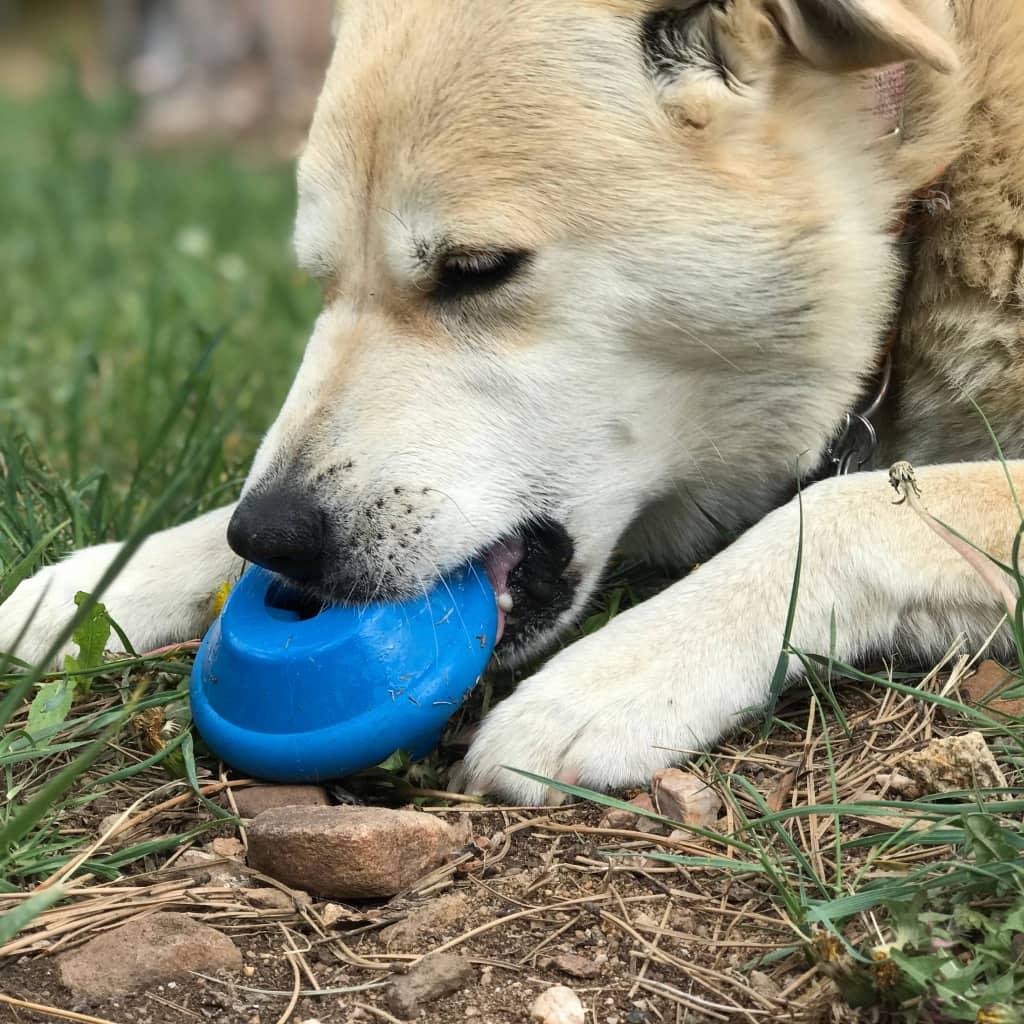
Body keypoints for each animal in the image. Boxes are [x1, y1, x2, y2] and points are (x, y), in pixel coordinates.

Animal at [2, 0, 1024, 802]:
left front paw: (614, 679)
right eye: (319, 282)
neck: (927, 187)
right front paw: (105, 583)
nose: (271, 539)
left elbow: (850, 507)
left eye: (476, 271)